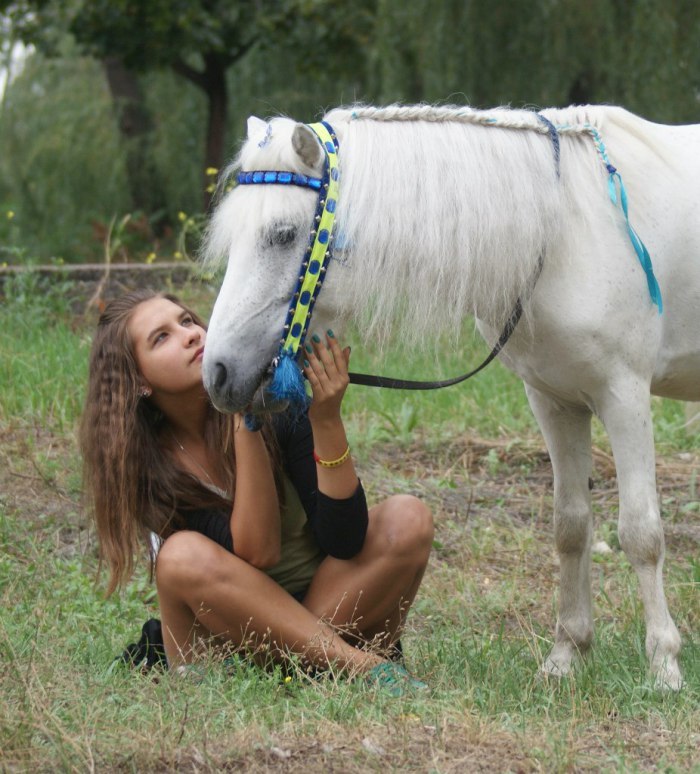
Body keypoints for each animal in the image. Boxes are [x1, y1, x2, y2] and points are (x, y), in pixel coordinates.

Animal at [200, 104, 696, 692]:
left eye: (282, 234)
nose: (218, 373)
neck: (565, 231)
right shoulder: (554, 401)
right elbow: (571, 527)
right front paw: (566, 656)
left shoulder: (624, 395)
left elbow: (640, 533)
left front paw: (664, 667)